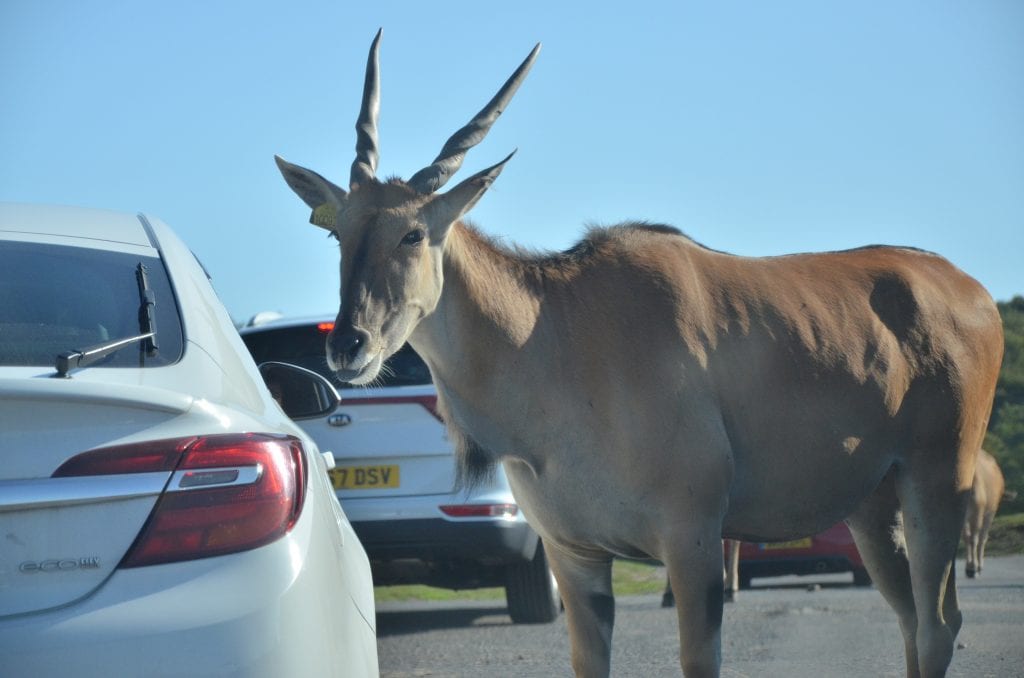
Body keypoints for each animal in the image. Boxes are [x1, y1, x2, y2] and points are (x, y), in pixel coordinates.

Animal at [272, 30, 999, 678]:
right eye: (339, 232)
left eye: (413, 233)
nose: (347, 345)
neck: (555, 336)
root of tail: (972, 291)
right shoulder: (575, 556)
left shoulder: (694, 540)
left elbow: (698, 657)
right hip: (875, 508)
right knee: (913, 621)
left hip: (936, 480)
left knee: (938, 625)